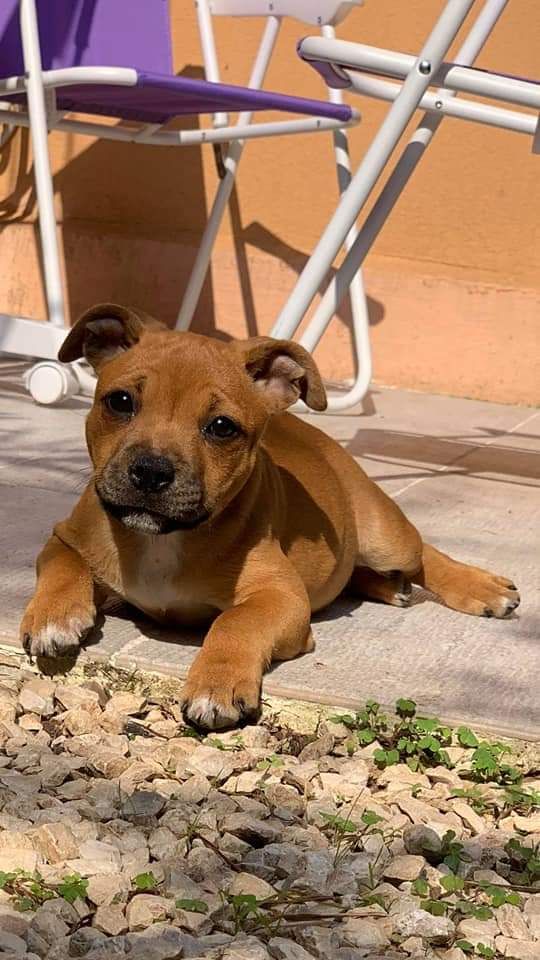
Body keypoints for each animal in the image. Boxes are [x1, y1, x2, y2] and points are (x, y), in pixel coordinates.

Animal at [21, 303, 520, 730]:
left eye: (222, 428)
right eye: (120, 402)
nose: (151, 470)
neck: (164, 540)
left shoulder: (279, 596)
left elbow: (234, 622)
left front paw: (217, 683)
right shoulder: (67, 535)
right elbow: (64, 565)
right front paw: (54, 617)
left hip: (385, 535)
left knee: (422, 554)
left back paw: (481, 587)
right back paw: (388, 587)